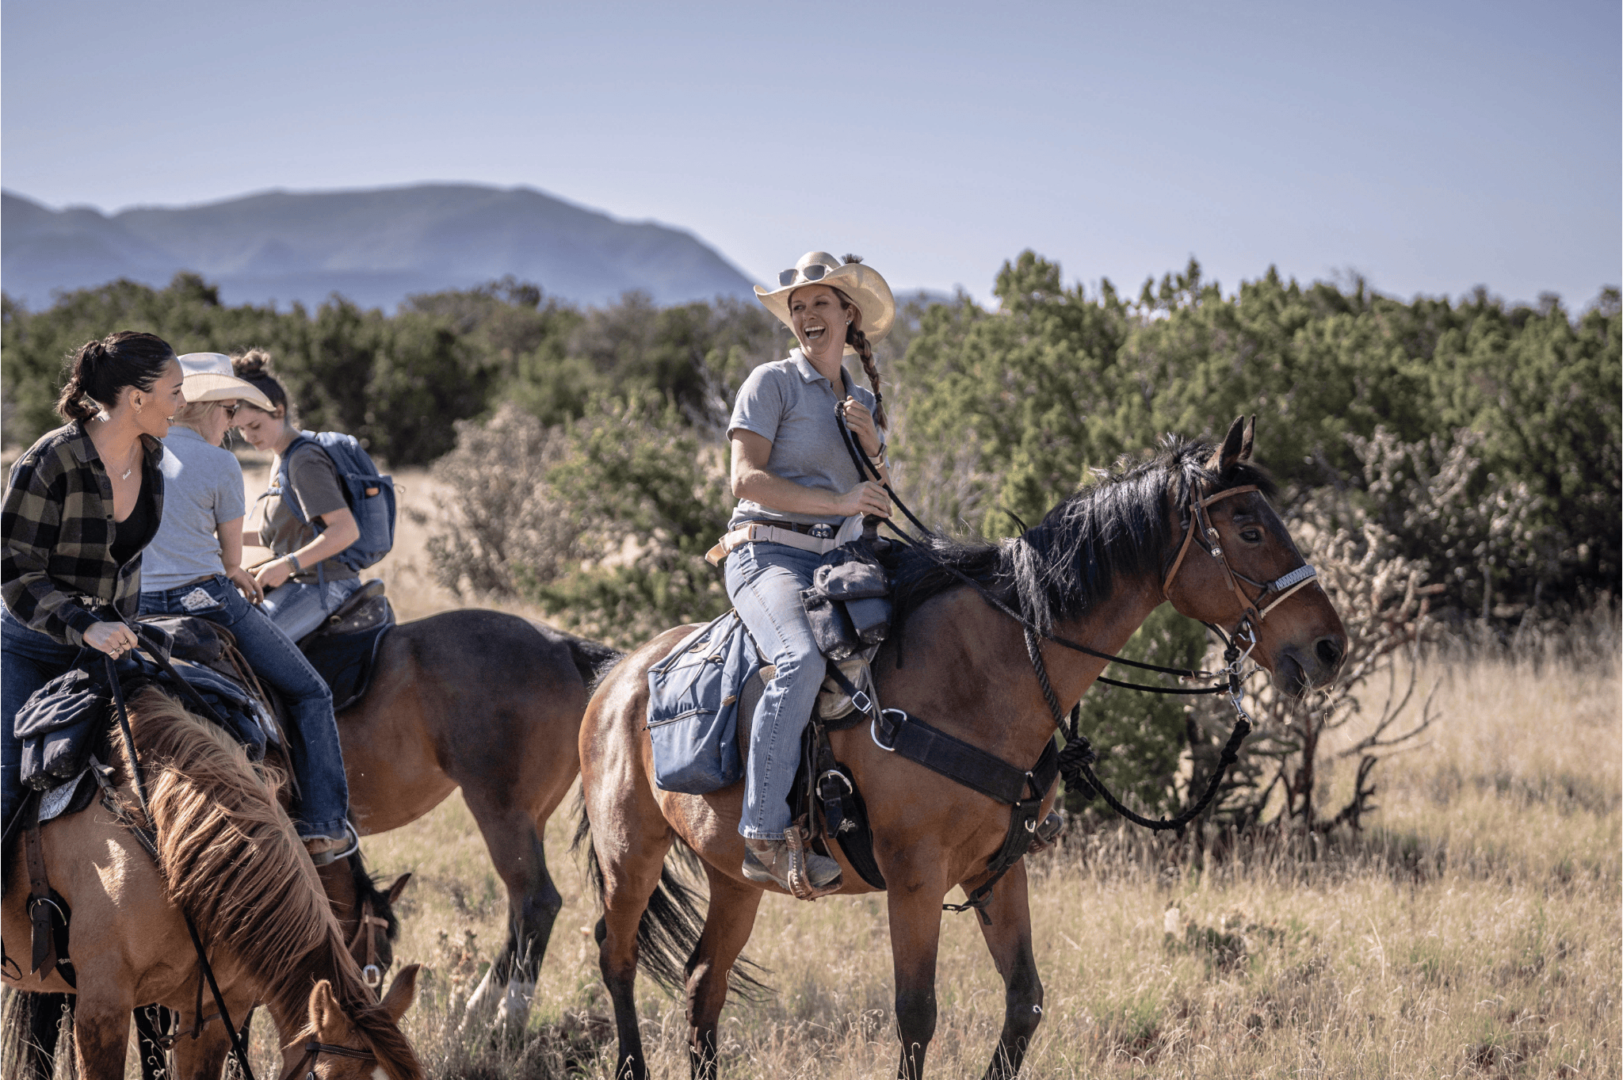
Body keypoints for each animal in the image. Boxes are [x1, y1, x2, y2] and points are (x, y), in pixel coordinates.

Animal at [577, 415, 1350, 1071]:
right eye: (1248, 528)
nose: (1329, 647)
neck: (981, 671)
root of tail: (619, 675)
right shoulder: (915, 878)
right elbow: (916, 1015)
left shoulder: (998, 869)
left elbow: (1024, 1003)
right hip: (630, 852)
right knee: (616, 955)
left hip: (734, 877)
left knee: (702, 983)